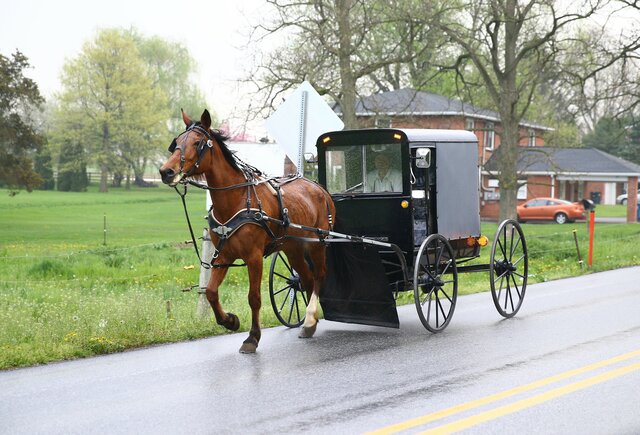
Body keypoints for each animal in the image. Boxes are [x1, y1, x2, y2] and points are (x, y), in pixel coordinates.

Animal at [159, 109, 336, 353]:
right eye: (176, 143)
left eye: (197, 142)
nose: (166, 171)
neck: (235, 200)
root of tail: (318, 187)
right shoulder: (222, 256)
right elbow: (211, 292)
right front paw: (230, 321)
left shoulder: (254, 257)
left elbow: (254, 297)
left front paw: (252, 337)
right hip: (292, 248)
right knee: (307, 279)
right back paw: (311, 323)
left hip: (317, 243)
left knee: (319, 275)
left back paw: (310, 317)